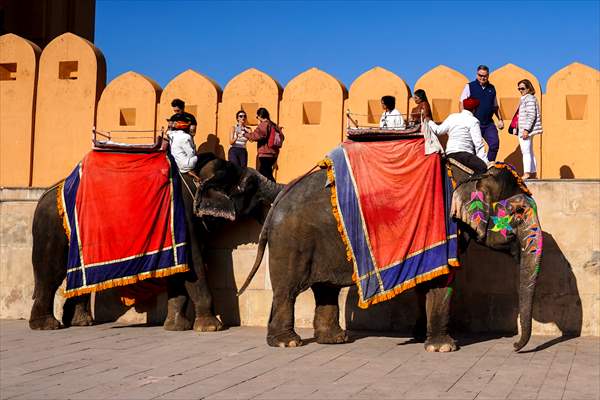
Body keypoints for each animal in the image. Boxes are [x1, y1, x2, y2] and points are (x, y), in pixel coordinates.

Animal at [30, 155, 286, 332]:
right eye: (250, 186)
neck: (198, 175)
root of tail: (44, 194)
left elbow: (179, 272)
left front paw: (176, 327)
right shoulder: (184, 215)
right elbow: (194, 266)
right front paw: (211, 327)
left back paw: (81, 323)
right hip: (50, 227)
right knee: (50, 274)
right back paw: (47, 326)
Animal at [239, 161, 544, 352]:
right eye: (518, 213)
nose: (514, 346)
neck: (471, 175)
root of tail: (281, 192)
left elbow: (427, 282)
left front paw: (421, 337)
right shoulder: (444, 228)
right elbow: (441, 281)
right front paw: (443, 347)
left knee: (326, 288)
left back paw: (336, 339)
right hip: (291, 239)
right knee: (288, 290)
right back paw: (288, 343)